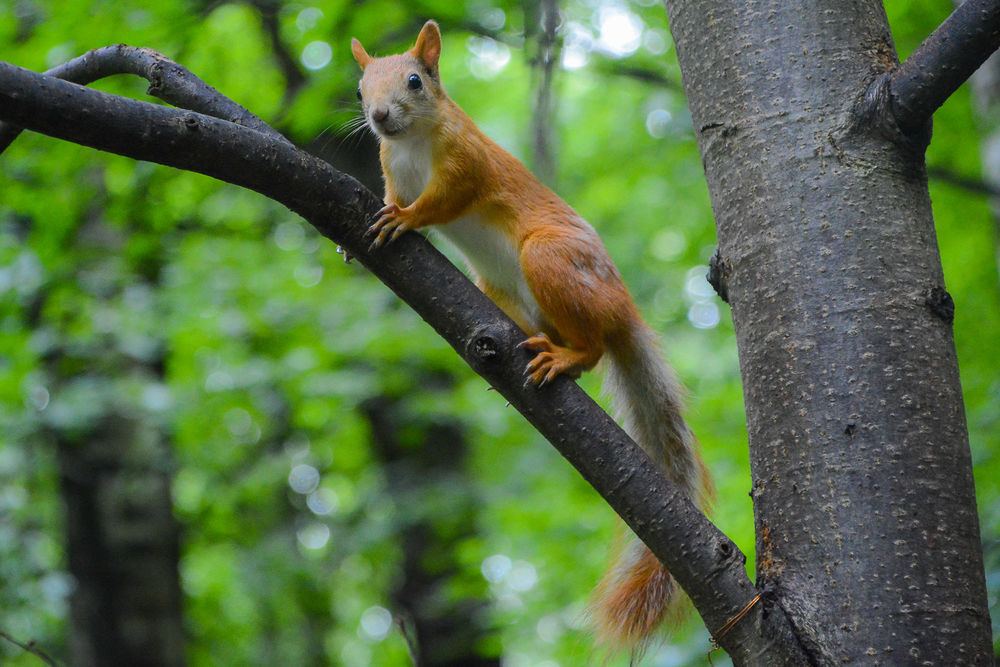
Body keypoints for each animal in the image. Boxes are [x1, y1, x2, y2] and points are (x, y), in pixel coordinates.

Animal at [351, 20, 713, 652]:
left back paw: (567, 357)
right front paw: (367, 230)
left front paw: (408, 220)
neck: (412, 143)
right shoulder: (390, 167)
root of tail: (621, 309)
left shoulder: (467, 163)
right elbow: (392, 193)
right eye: (359, 89)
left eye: (416, 80)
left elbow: (444, 200)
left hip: (548, 259)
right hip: (496, 286)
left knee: (593, 348)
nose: (379, 116)